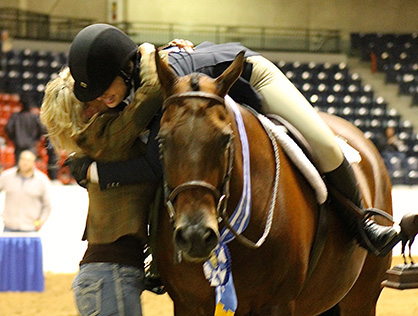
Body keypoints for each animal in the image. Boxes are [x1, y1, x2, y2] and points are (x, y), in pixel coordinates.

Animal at [153, 50, 392, 314]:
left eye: (226, 139)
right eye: (161, 141)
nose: (195, 235)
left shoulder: (278, 303)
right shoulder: (188, 303)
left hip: (361, 297)